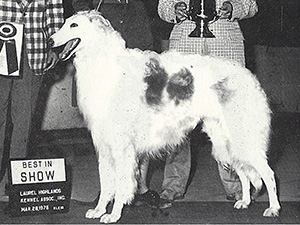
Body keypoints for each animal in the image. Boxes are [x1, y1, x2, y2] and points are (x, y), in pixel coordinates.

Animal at [49, 10, 282, 223]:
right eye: (65, 23)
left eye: (74, 25)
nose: (50, 40)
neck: (105, 63)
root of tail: (248, 75)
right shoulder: (104, 145)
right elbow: (107, 183)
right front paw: (98, 210)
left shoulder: (122, 147)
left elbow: (121, 184)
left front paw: (113, 214)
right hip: (225, 139)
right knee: (243, 172)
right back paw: (245, 201)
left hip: (242, 138)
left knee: (268, 174)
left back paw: (273, 208)